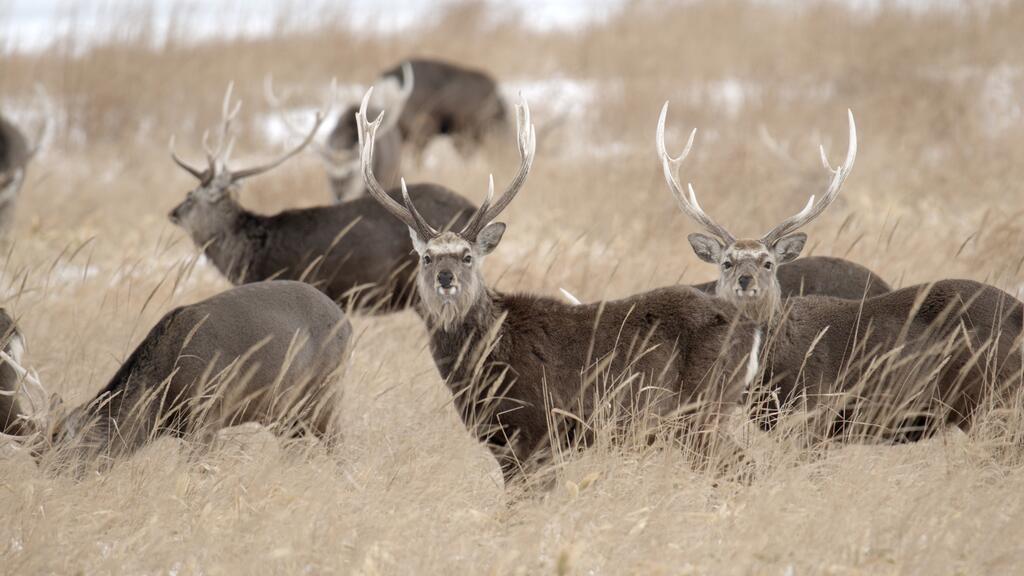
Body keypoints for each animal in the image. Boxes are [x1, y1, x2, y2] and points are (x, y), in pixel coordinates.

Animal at [0, 281, 351, 471]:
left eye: (66, 460)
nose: (51, 486)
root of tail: (346, 323)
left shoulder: (208, 414)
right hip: (285, 413)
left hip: (325, 391)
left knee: (341, 444)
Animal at [357, 89, 762, 485]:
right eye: (427, 257)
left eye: (467, 256)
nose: (446, 277)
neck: (484, 358)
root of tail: (749, 327)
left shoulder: (535, 430)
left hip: (702, 408)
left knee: (746, 468)